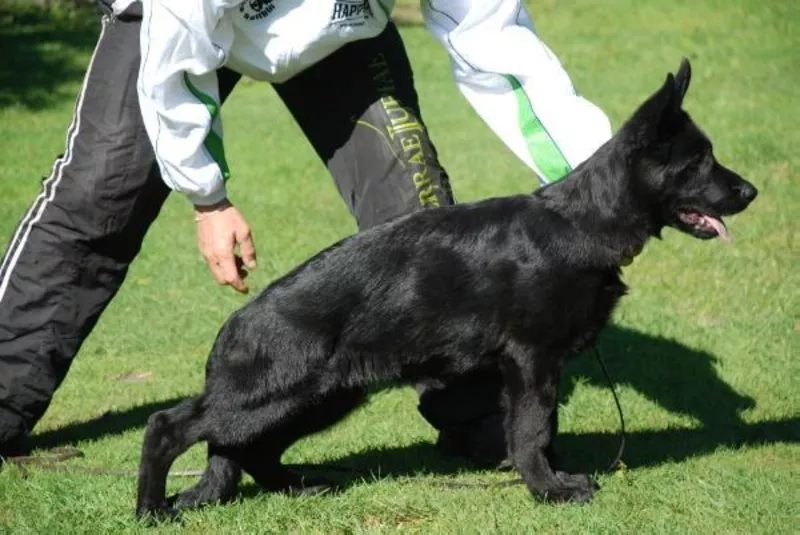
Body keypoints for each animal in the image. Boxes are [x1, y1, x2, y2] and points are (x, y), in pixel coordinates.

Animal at [136, 57, 756, 520]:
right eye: (700, 160)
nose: (750, 191)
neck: (578, 223)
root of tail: (233, 328)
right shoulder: (531, 360)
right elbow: (533, 428)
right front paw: (549, 488)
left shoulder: (531, 367)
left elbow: (537, 427)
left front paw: (541, 476)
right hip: (273, 396)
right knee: (170, 426)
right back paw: (151, 508)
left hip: (320, 399)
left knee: (250, 451)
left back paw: (297, 487)